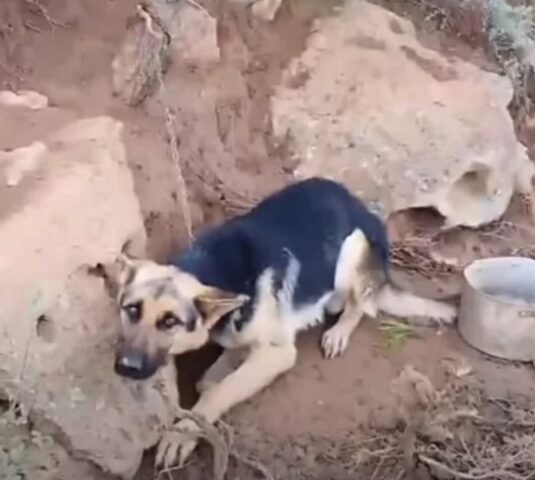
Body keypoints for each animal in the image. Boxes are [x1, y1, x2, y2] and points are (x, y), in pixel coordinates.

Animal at [110, 178, 456, 466]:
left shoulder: (277, 353)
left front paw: (183, 432)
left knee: (360, 304)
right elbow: (215, 375)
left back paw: (339, 329)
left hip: (350, 251)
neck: (217, 269)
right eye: (131, 310)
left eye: (170, 322)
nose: (126, 366)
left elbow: (219, 392)